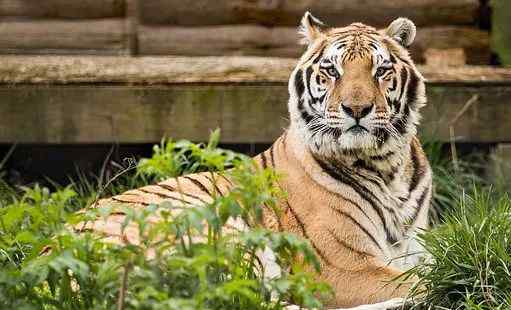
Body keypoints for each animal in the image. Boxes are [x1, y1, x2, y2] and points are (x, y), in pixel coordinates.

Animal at [84, 12, 432, 310]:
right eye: (332, 71)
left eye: (381, 70)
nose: (356, 109)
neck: (386, 166)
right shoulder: (341, 266)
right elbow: (421, 282)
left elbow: (433, 268)